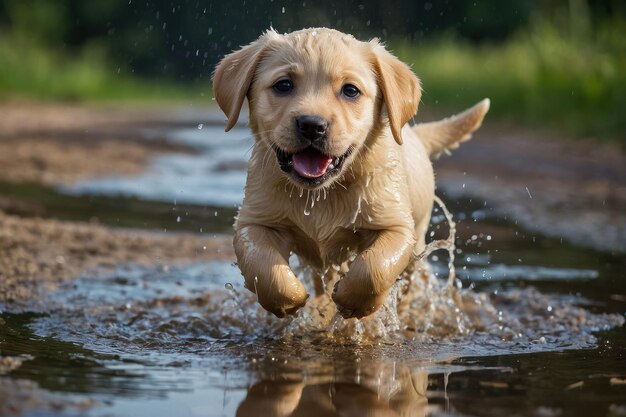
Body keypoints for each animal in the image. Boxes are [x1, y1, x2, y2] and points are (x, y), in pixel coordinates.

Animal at [212, 27, 490, 316]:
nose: (312, 125)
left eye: (350, 91)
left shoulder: (397, 226)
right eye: (283, 85)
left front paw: (351, 300)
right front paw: (291, 298)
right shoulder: (253, 221)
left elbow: (373, 268)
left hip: (418, 242)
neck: (322, 194)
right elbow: (262, 265)